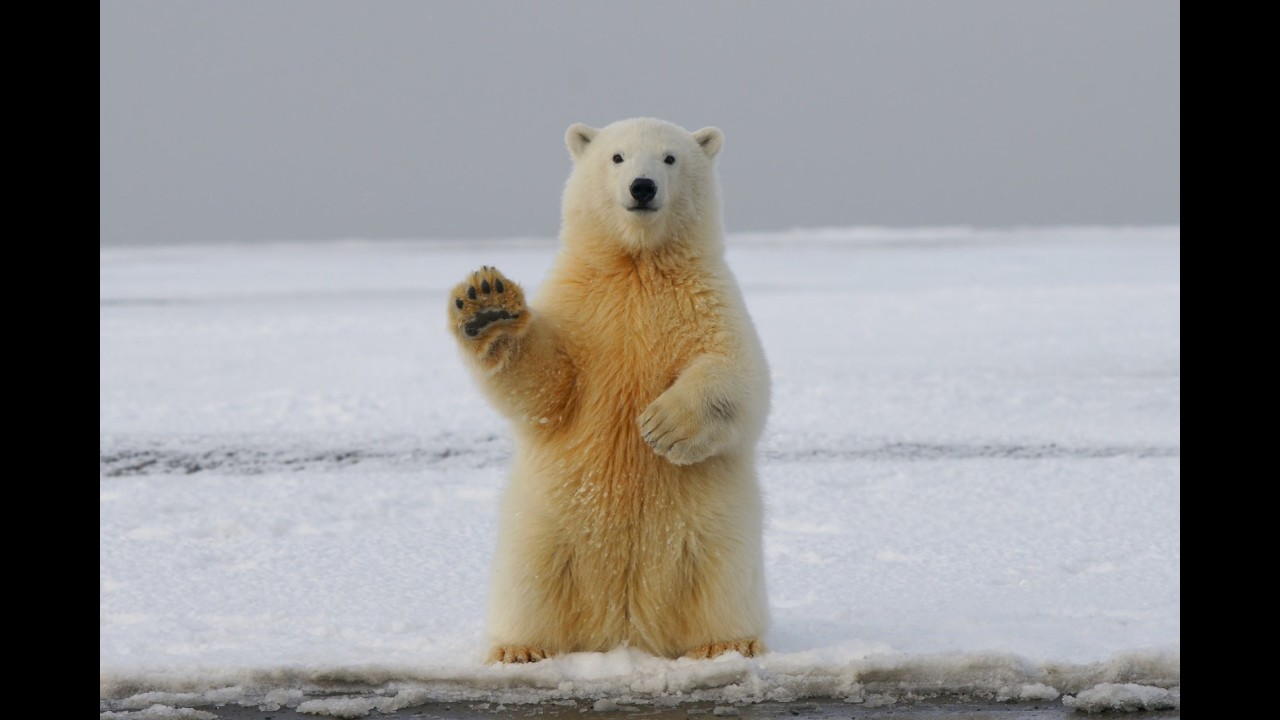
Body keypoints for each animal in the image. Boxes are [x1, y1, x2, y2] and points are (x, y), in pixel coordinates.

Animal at [447, 117, 770, 663]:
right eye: (617, 157)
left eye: (669, 158)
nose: (642, 187)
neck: (636, 265)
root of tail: (625, 630)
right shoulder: (581, 306)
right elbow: (548, 386)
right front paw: (487, 305)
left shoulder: (707, 299)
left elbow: (740, 375)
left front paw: (662, 426)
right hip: (545, 528)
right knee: (530, 582)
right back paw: (520, 649)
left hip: (714, 531)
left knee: (721, 579)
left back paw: (728, 643)